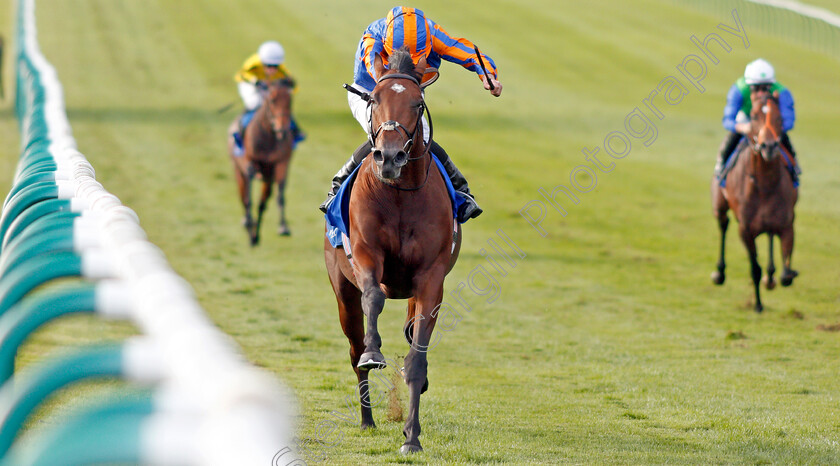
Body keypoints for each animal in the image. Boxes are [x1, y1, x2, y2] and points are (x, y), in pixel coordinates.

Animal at [228, 79, 296, 248]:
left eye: (290, 101)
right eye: (272, 100)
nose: (282, 128)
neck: (269, 137)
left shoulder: (281, 163)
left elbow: (280, 196)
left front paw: (283, 227)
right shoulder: (250, 164)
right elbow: (249, 199)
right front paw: (248, 223)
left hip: (267, 178)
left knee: (262, 203)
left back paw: (255, 235)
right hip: (238, 170)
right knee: (243, 197)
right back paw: (248, 225)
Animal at [324, 48, 462, 456]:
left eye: (417, 103)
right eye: (373, 99)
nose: (389, 157)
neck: (400, 194)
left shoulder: (431, 277)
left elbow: (417, 359)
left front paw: (412, 438)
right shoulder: (366, 254)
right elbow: (373, 298)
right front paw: (374, 353)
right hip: (342, 291)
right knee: (353, 350)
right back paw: (367, 418)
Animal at [712, 91, 796, 312]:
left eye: (779, 117)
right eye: (754, 116)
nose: (769, 146)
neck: (765, 184)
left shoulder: (787, 224)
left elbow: (786, 274)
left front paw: (776, 277)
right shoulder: (746, 230)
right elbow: (755, 269)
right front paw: (757, 305)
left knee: (769, 235)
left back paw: (771, 276)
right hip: (719, 206)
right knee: (723, 225)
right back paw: (719, 273)